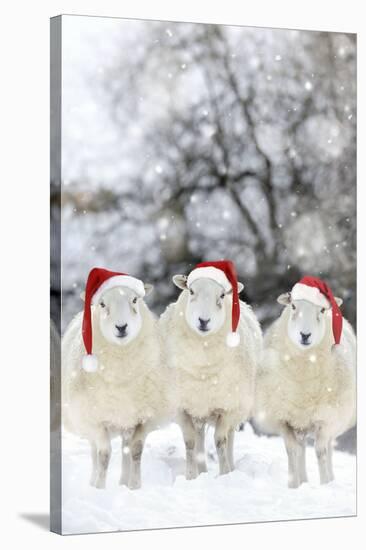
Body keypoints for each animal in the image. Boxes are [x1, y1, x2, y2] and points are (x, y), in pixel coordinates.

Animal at [62, 272, 170, 492]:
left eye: (135, 300)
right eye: (102, 304)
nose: (121, 327)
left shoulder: (143, 417)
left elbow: (135, 450)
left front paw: (135, 487)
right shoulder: (96, 419)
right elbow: (103, 455)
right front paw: (99, 488)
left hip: (125, 419)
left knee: (125, 448)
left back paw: (122, 482)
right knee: (94, 451)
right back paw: (93, 481)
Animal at [159, 266, 262, 480]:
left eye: (222, 295)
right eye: (191, 291)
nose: (203, 321)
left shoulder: (228, 407)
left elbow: (220, 440)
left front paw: (224, 474)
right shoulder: (180, 406)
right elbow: (189, 441)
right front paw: (191, 477)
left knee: (229, 437)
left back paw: (231, 468)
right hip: (198, 405)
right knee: (198, 436)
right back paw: (203, 471)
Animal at [256, 282, 356, 490]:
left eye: (322, 310)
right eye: (293, 306)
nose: (305, 335)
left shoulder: (326, 419)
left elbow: (321, 451)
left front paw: (325, 484)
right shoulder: (283, 419)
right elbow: (291, 450)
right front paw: (293, 485)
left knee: (328, 448)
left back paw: (330, 479)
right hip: (299, 421)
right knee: (300, 448)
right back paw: (303, 480)